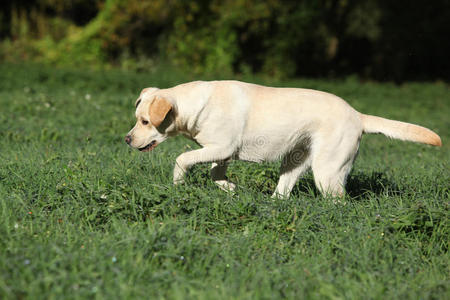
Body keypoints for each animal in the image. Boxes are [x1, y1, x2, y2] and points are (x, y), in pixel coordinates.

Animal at [125, 81, 442, 198]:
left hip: (327, 172)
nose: (127, 139)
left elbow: (183, 158)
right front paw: (229, 187)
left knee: (339, 201)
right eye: (137, 117)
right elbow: (216, 172)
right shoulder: (223, 151)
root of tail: (358, 115)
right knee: (283, 192)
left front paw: (178, 183)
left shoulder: (221, 146)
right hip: (295, 161)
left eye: (145, 121)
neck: (196, 105)